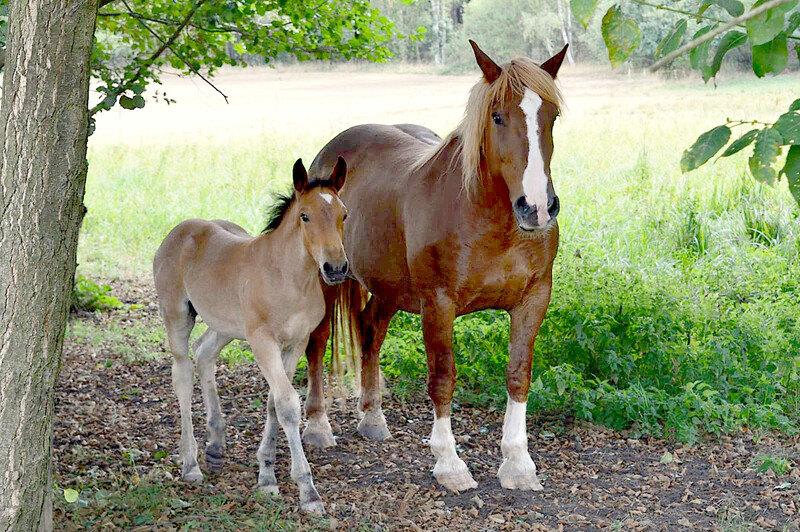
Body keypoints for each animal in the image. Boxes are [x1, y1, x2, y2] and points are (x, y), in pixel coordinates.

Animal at [153, 157, 348, 513]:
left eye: (344, 214)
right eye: (305, 216)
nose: (336, 268)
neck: (288, 279)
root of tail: (179, 231)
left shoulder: (295, 343)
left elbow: (273, 403)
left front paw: (266, 475)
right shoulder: (263, 343)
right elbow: (287, 404)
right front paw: (307, 490)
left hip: (225, 325)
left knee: (204, 353)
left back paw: (215, 447)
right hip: (177, 316)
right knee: (183, 374)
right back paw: (191, 463)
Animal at [301, 41, 569, 492]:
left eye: (551, 115)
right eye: (497, 116)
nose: (536, 208)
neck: (487, 219)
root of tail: (326, 158)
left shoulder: (533, 300)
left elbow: (519, 374)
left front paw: (518, 464)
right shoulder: (438, 304)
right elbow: (442, 378)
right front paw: (449, 464)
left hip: (388, 286)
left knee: (370, 331)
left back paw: (372, 418)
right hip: (329, 279)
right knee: (318, 344)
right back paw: (318, 427)